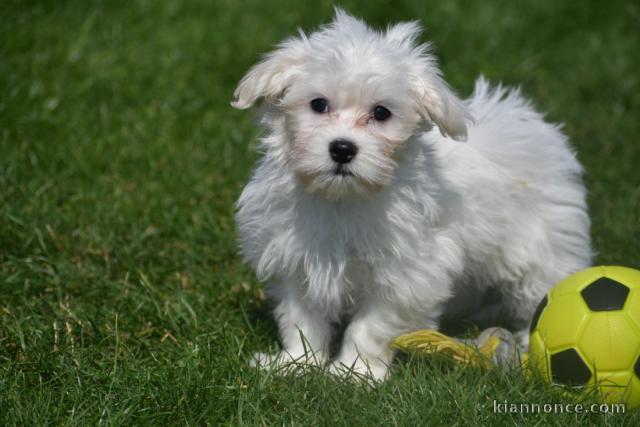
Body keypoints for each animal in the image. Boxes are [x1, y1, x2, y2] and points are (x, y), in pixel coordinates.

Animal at [230, 9, 592, 382]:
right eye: (318, 104)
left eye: (381, 113)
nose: (342, 149)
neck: (343, 199)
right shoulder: (299, 255)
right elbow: (302, 317)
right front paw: (296, 363)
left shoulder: (407, 272)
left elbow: (372, 325)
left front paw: (354, 371)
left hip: (541, 247)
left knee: (540, 287)